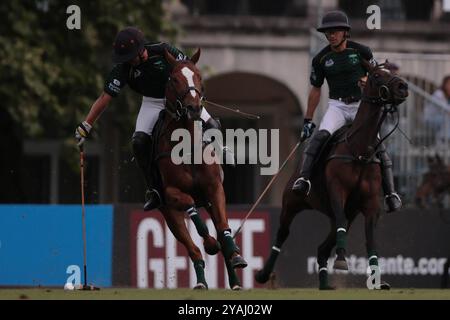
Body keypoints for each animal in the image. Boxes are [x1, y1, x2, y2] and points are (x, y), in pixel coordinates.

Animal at [153, 48, 248, 290]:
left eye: (199, 77)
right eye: (173, 79)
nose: (194, 108)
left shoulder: (215, 188)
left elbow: (224, 227)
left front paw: (235, 253)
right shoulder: (171, 193)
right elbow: (190, 207)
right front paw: (210, 243)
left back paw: (234, 279)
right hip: (169, 213)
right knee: (192, 249)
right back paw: (202, 281)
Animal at [256, 60, 408, 290]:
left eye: (391, 71)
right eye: (376, 75)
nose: (403, 87)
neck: (359, 151)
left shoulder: (371, 203)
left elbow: (370, 238)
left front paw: (376, 280)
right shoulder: (337, 190)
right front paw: (342, 260)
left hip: (345, 213)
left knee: (325, 244)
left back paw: (325, 284)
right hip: (292, 202)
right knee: (283, 234)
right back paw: (264, 275)